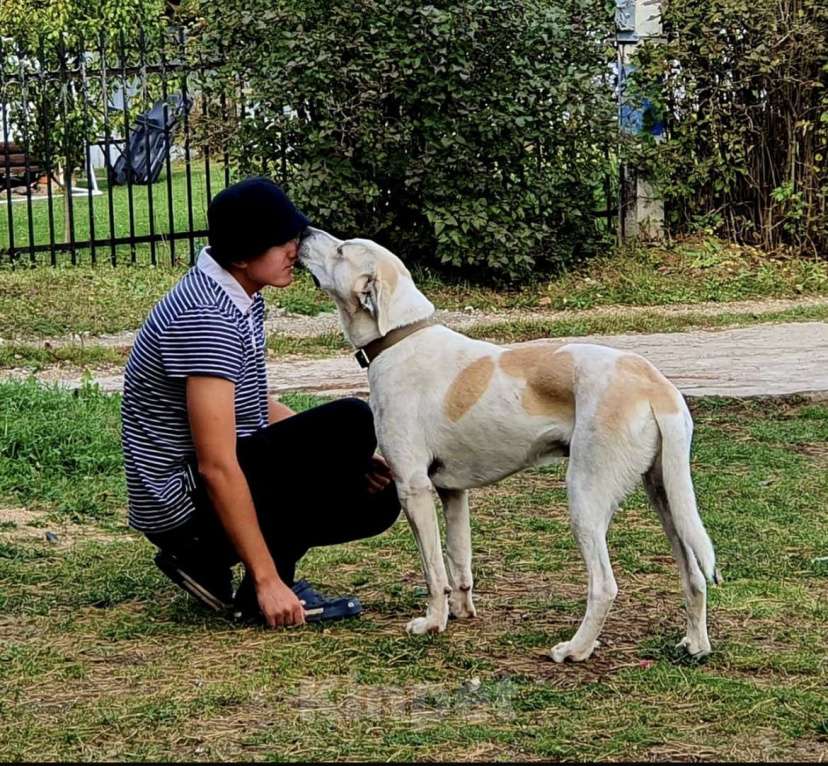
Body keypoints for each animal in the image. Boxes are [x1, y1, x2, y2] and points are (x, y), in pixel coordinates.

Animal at [298, 230, 720, 664]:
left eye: (341, 250)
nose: (305, 232)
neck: (399, 337)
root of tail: (654, 384)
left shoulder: (412, 488)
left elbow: (433, 570)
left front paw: (432, 623)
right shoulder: (452, 492)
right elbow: (459, 561)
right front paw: (461, 612)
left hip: (586, 498)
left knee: (604, 585)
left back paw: (576, 649)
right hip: (666, 497)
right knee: (693, 575)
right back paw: (695, 644)